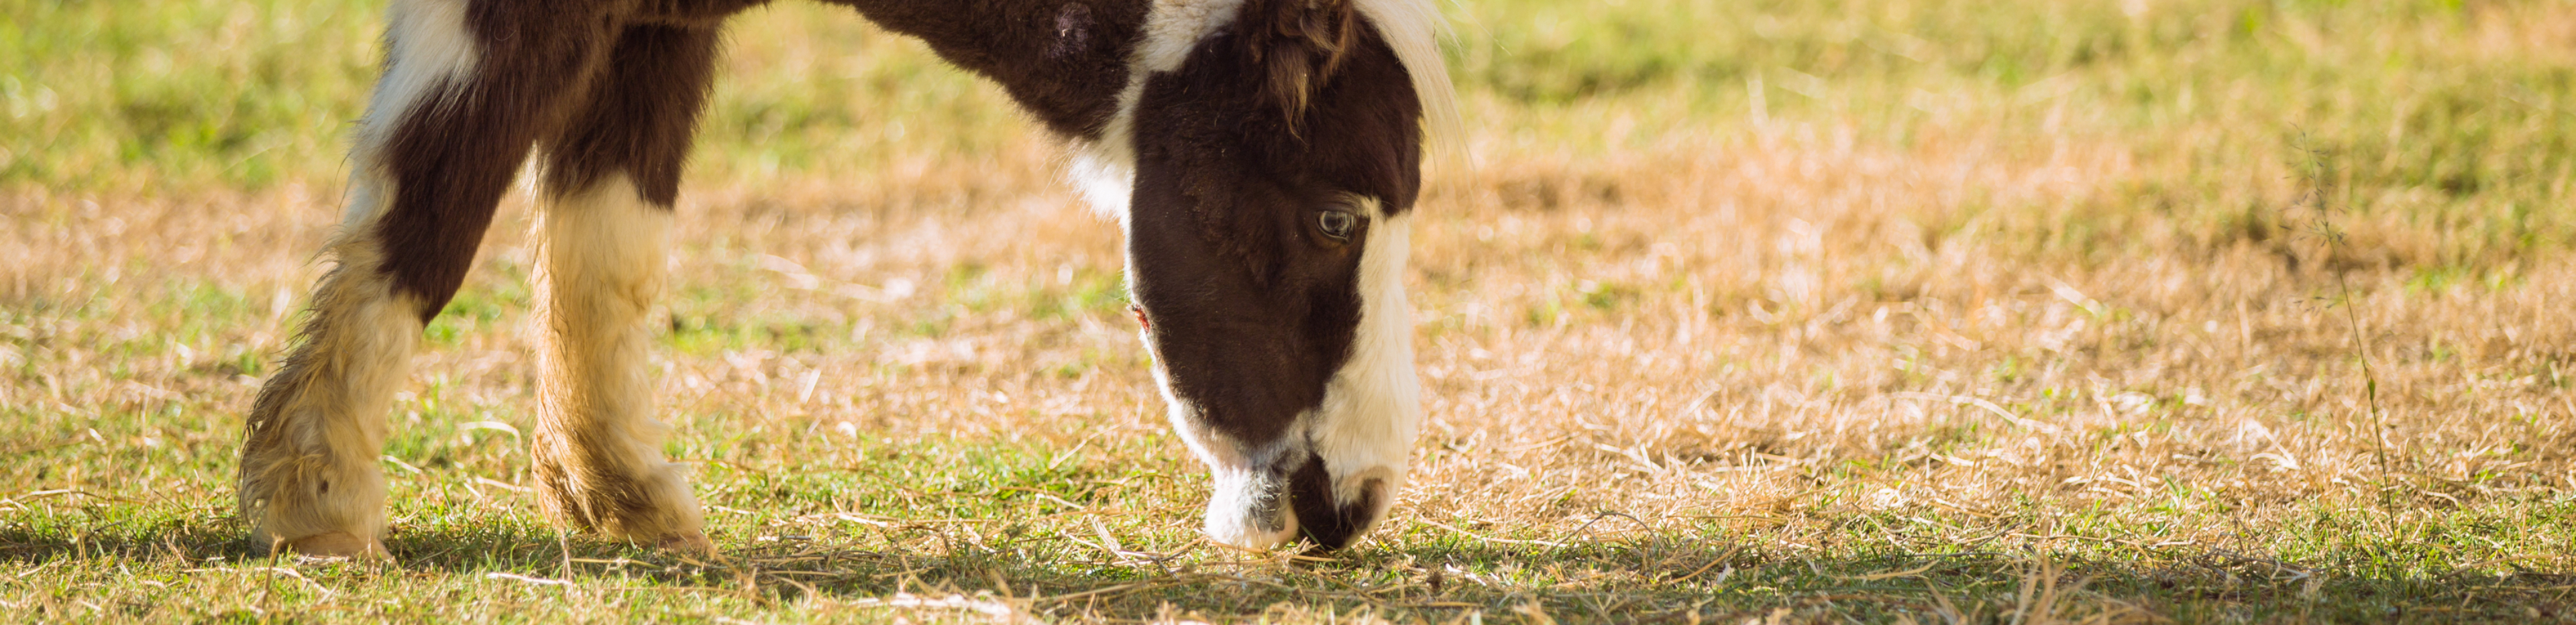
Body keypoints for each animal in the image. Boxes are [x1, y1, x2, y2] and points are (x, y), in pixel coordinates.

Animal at [233, 0, 1462, 559]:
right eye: (1335, 217)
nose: (1351, 503)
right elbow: (434, 202)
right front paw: (316, 500)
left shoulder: (654, 32)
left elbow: (607, 248)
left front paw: (619, 493)